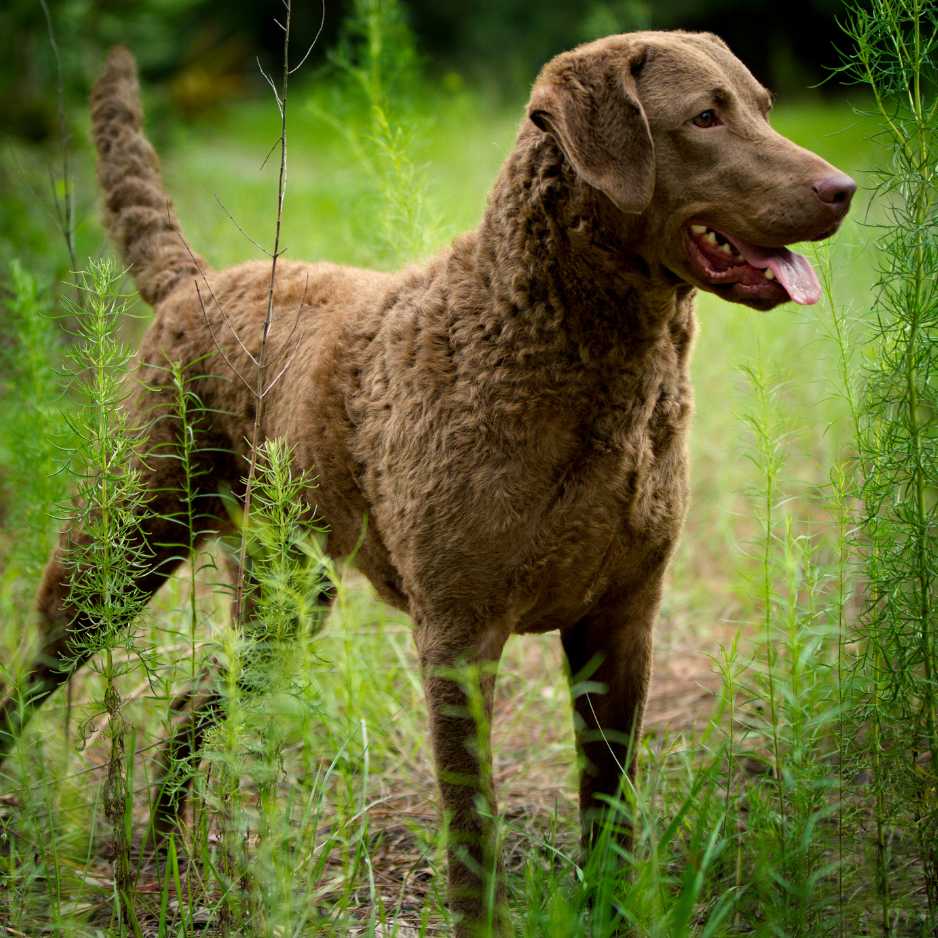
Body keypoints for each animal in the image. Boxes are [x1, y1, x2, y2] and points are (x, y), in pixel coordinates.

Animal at [0, 31, 852, 936]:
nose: (843, 189)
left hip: (285, 597)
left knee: (190, 705)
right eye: (704, 117)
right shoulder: (458, 635)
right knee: (35, 675)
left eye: (762, 106)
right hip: (122, 542)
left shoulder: (623, 621)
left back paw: (163, 858)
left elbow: (609, 805)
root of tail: (192, 281)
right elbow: (472, 825)